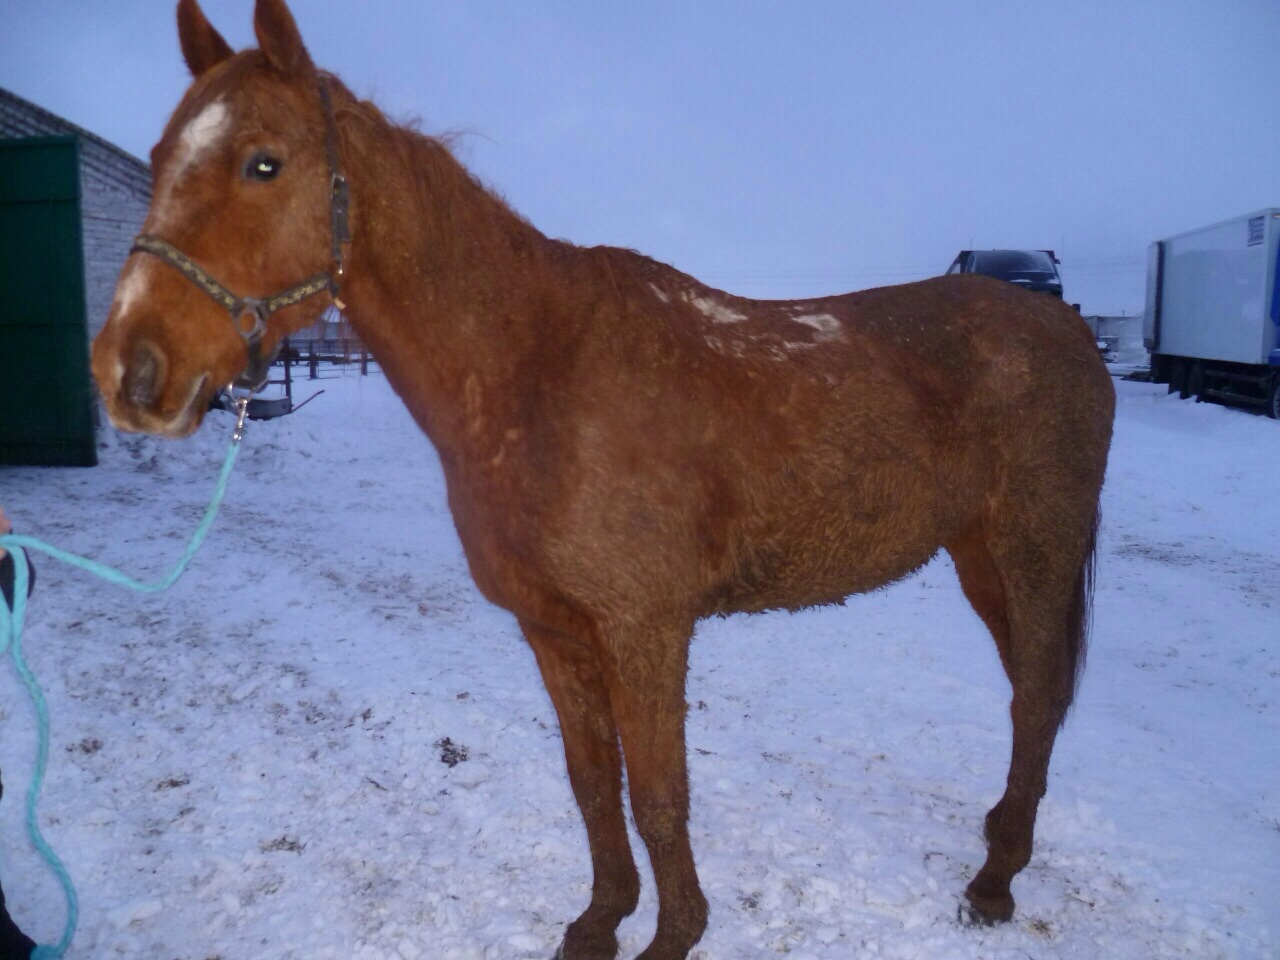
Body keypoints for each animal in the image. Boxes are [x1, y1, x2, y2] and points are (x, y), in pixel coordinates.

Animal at [90, 2, 1115, 957]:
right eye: (161, 155)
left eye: (262, 164)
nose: (128, 370)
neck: (542, 372)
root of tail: (1069, 330)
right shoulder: (554, 631)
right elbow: (593, 784)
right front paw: (599, 920)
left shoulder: (645, 631)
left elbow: (659, 795)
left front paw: (673, 934)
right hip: (980, 558)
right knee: (1032, 696)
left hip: (1034, 552)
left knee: (1034, 697)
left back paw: (994, 883)